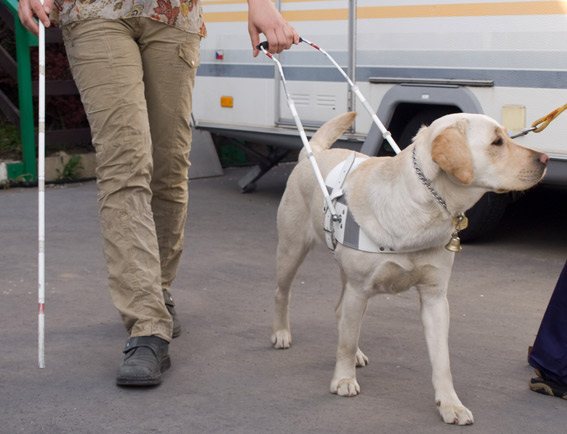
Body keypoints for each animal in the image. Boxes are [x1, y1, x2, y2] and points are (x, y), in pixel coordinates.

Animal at [272, 111, 548, 424]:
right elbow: (345, 342)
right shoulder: (359, 288)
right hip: (292, 250)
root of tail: (313, 154)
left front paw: (450, 404)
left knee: (341, 311)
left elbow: (442, 360)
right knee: (283, 294)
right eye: (497, 142)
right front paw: (343, 380)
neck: (423, 207)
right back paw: (281, 333)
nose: (545, 159)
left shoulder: (435, 297)